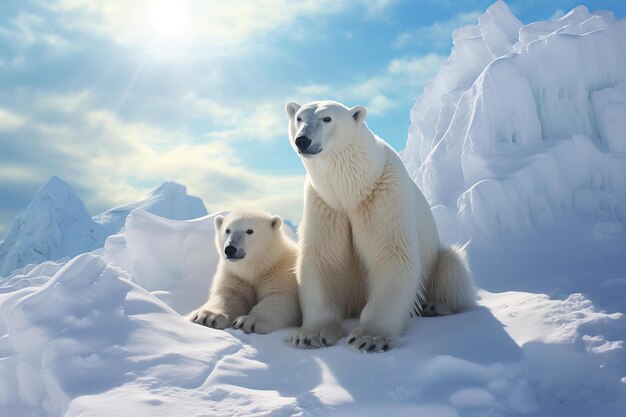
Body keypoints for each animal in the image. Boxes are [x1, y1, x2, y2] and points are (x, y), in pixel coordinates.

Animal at [282, 101, 472, 352]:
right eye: (299, 118)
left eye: (327, 118)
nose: (302, 140)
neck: (355, 190)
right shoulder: (326, 204)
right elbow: (322, 258)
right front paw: (311, 334)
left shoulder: (383, 196)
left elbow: (391, 255)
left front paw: (370, 337)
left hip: (438, 261)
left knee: (452, 267)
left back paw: (436, 306)